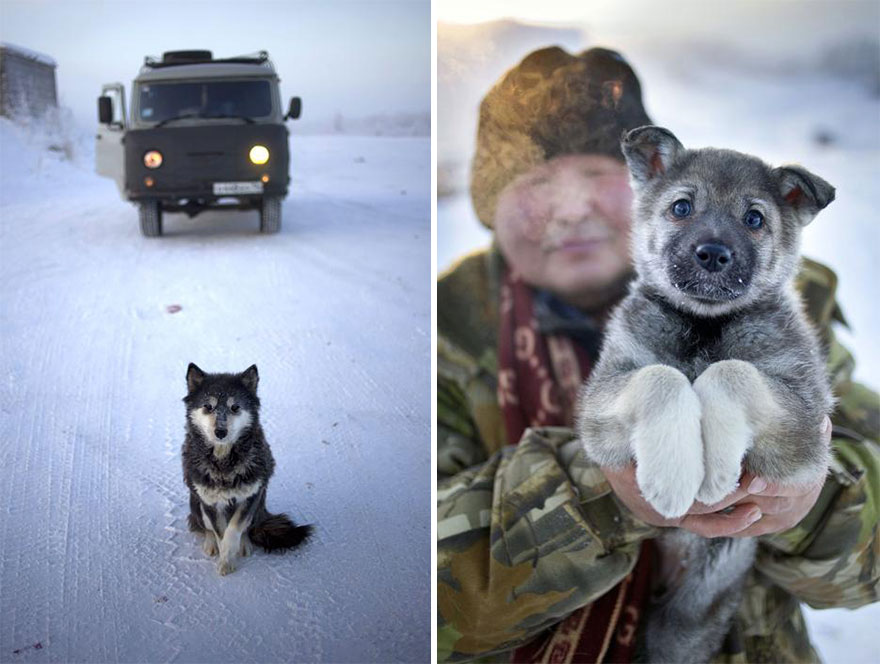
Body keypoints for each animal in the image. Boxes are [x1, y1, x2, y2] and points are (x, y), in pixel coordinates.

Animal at [182, 364, 312, 576]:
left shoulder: (251, 496)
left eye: (235, 407)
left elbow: (234, 529)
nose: (220, 432)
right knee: (204, 526)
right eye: (208, 407)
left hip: (258, 505)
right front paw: (224, 558)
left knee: (246, 527)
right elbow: (219, 531)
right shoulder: (210, 501)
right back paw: (210, 543)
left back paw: (244, 544)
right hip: (196, 503)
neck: (224, 463)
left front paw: (229, 556)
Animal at [576, 127, 832, 660]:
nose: (713, 254)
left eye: (754, 219)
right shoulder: (601, 402)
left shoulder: (806, 428)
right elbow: (661, 378)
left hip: (686, 628)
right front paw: (673, 477)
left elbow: (733, 372)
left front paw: (714, 470)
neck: (704, 326)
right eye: (681, 207)